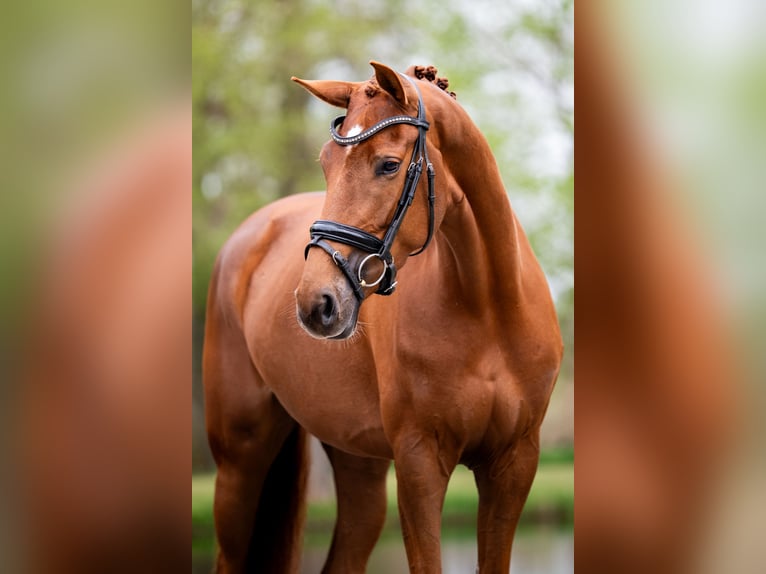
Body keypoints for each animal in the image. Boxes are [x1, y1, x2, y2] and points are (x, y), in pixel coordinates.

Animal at [203, 61, 563, 573]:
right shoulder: (419, 463)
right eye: (325, 164)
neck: (488, 309)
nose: (315, 303)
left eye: (389, 165)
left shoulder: (514, 464)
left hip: (359, 468)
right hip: (239, 462)